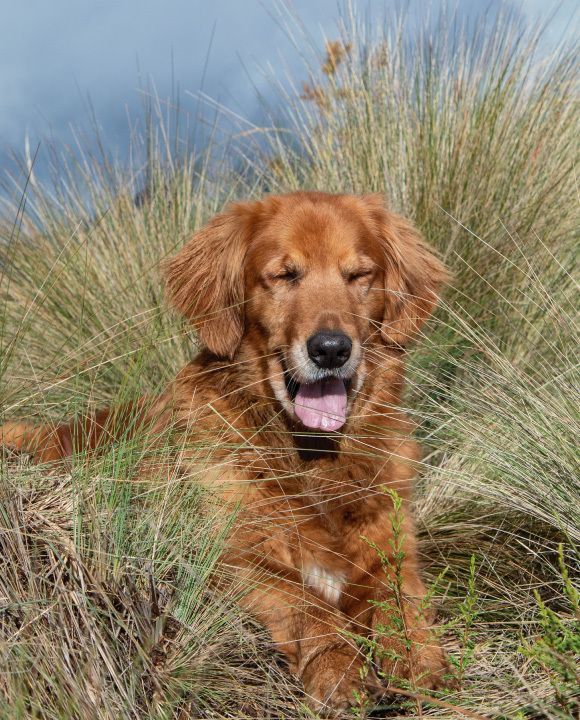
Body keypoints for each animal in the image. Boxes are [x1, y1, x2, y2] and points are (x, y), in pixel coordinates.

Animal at [1, 191, 448, 716]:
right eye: (284, 275)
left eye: (359, 275)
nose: (331, 349)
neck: (310, 460)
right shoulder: (226, 557)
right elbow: (305, 600)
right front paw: (340, 667)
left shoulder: (393, 546)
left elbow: (396, 598)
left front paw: (417, 657)